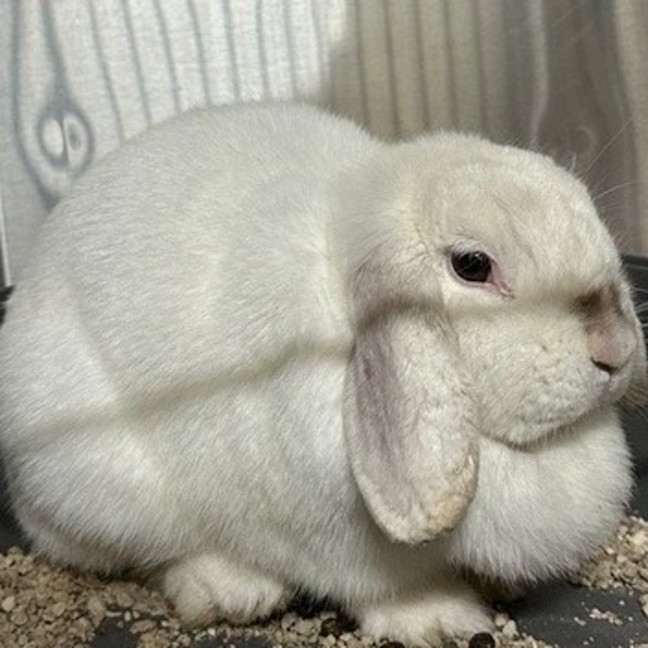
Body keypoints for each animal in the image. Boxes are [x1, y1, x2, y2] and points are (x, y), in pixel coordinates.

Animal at [0, 102, 644, 646]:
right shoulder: (337, 544)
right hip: (102, 493)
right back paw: (233, 591)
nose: (616, 350)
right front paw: (440, 621)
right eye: (471, 265)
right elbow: (389, 587)